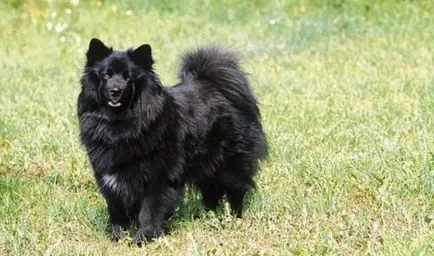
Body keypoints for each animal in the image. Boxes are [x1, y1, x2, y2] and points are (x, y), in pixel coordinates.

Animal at [78, 38, 268, 244]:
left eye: (129, 78)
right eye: (107, 75)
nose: (115, 91)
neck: (121, 124)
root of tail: (215, 85)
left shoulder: (157, 177)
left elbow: (149, 211)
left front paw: (144, 237)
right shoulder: (108, 177)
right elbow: (116, 210)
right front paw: (117, 236)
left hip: (228, 166)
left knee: (236, 190)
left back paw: (233, 218)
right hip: (206, 166)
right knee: (211, 192)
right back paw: (208, 216)